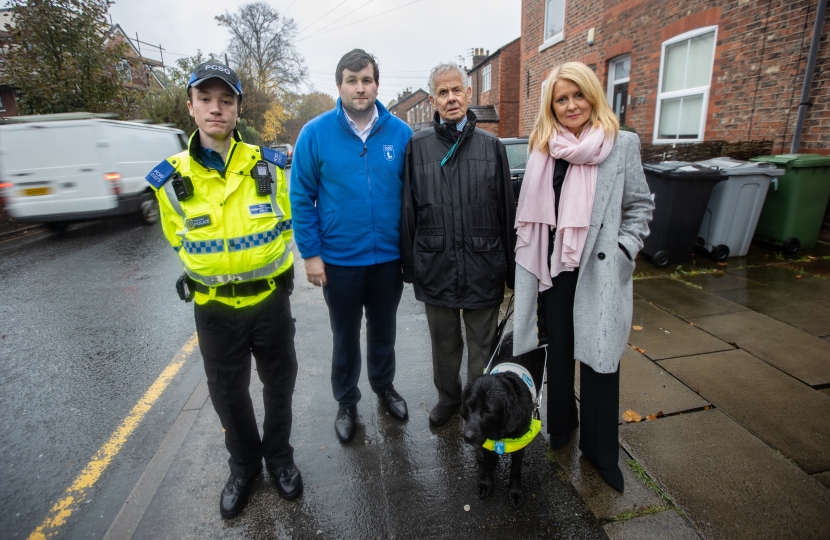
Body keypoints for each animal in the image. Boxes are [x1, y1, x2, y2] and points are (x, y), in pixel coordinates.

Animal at [462, 332, 544, 508]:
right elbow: (487, 464)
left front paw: (515, 491)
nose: (467, 437)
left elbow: (515, 470)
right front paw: (485, 483)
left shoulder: (520, 444)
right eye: (469, 406)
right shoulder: (485, 440)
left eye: (489, 411)